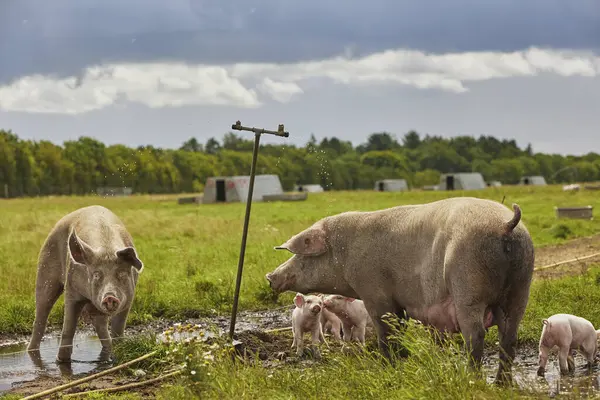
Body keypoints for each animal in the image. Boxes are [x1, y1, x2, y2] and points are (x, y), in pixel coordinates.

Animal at [28, 205, 145, 364]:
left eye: (121, 274)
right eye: (96, 274)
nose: (110, 296)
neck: (106, 248)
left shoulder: (129, 298)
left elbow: (118, 330)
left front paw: (117, 357)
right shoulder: (71, 290)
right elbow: (68, 327)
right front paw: (60, 361)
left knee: (100, 324)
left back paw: (107, 349)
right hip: (45, 272)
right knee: (41, 315)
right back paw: (31, 351)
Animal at [268, 197, 536, 384]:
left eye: (302, 256)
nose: (270, 276)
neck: (345, 252)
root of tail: (506, 225)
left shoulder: (375, 293)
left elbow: (384, 331)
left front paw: (387, 366)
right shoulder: (399, 303)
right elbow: (400, 328)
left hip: (468, 286)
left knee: (476, 335)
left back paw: (471, 380)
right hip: (521, 286)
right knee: (509, 337)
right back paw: (502, 385)